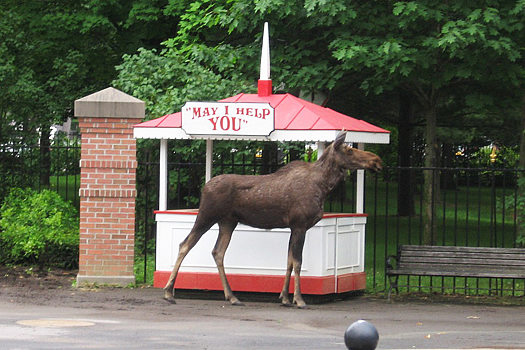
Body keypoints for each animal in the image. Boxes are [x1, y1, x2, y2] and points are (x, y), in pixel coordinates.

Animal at [164, 131, 380, 308]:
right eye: (349, 150)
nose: (377, 160)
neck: (324, 187)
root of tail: (204, 188)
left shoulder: (293, 227)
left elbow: (289, 261)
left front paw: (284, 298)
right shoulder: (300, 224)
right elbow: (298, 262)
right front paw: (299, 300)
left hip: (228, 221)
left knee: (218, 252)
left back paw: (232, 296)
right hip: (206, 215)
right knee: (185, 244)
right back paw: (168, 292)